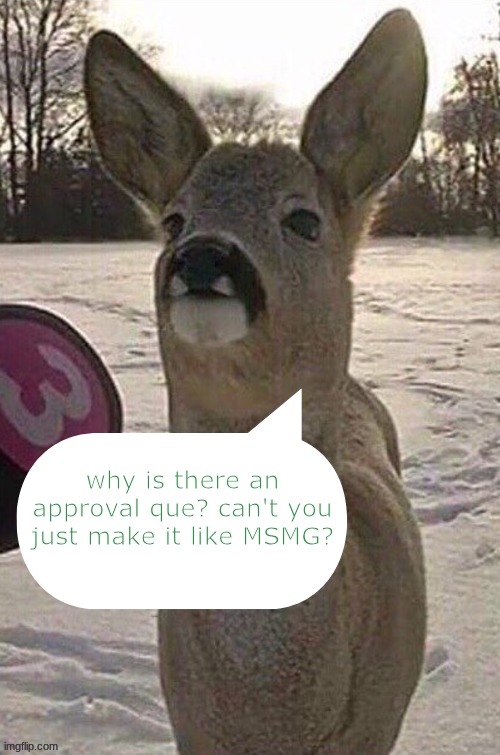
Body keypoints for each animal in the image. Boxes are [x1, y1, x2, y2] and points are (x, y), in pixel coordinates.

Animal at [84, 8, 427, 754]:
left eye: (303, 219)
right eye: (174, 219)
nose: (202, 255)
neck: (271, 717)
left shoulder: (380, 723)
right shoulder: (188, 724)